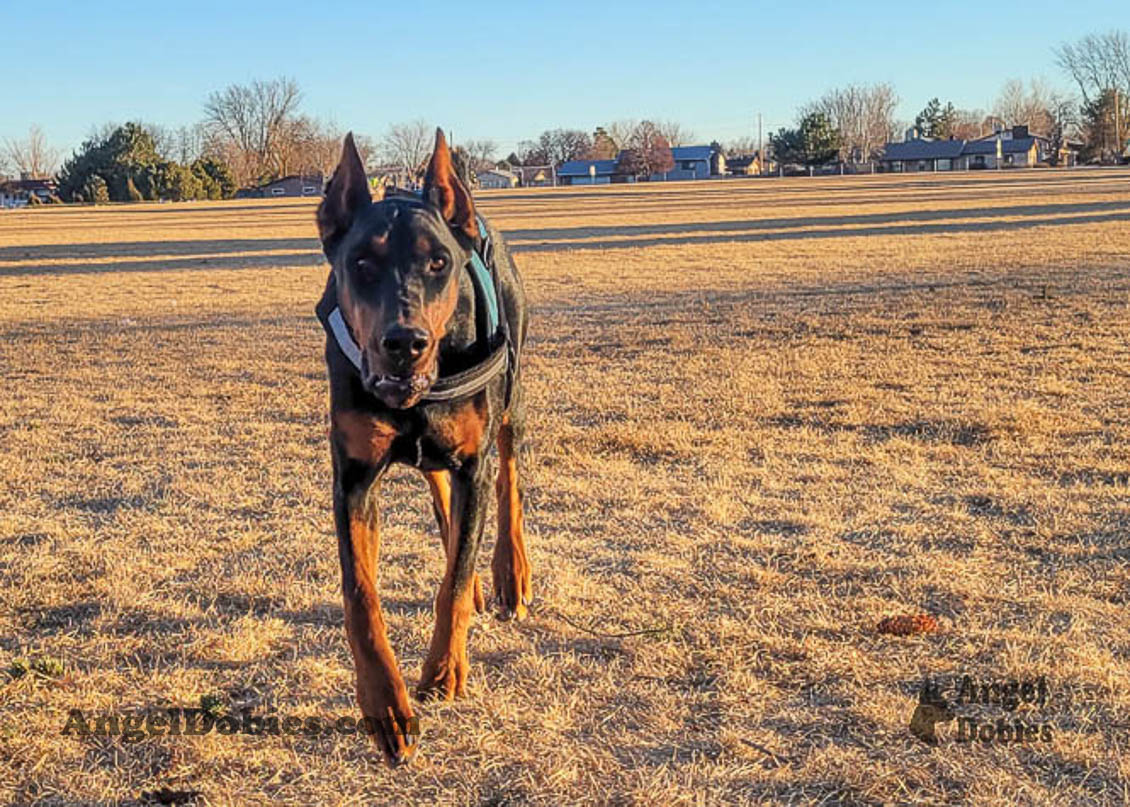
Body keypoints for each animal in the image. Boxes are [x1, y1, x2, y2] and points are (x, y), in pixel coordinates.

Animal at [316, 128, 531, 764]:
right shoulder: (353, 478)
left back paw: (509, 574)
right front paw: (385, 705)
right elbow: (360, 595)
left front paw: (443, 669)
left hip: (509, 404)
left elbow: (454, 581)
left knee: (507, 482)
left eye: (438, 263)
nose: (404, 342)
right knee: (440, 493)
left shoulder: (473, 464)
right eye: (361, 263)